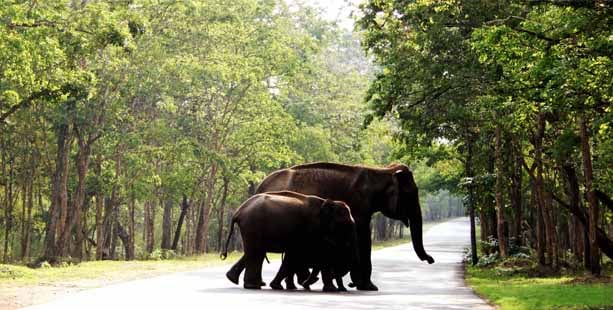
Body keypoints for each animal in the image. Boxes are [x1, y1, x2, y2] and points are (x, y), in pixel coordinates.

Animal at [221, 189, 358, 290]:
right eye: (347, 225)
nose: (349, 286)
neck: (327, 202)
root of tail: (239, 211)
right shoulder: (311, 230)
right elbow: (300, 255)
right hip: (253, 225)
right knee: (256, 253)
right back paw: (253, 286)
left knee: (255, 252)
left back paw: (237, 280)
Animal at [256, 162, 432, 290]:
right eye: (410, 194)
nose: (431, 260)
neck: (382, 171)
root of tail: (259, 187)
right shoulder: (359, 207)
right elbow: (363, 238)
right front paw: (369, 287)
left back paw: (293, 285)